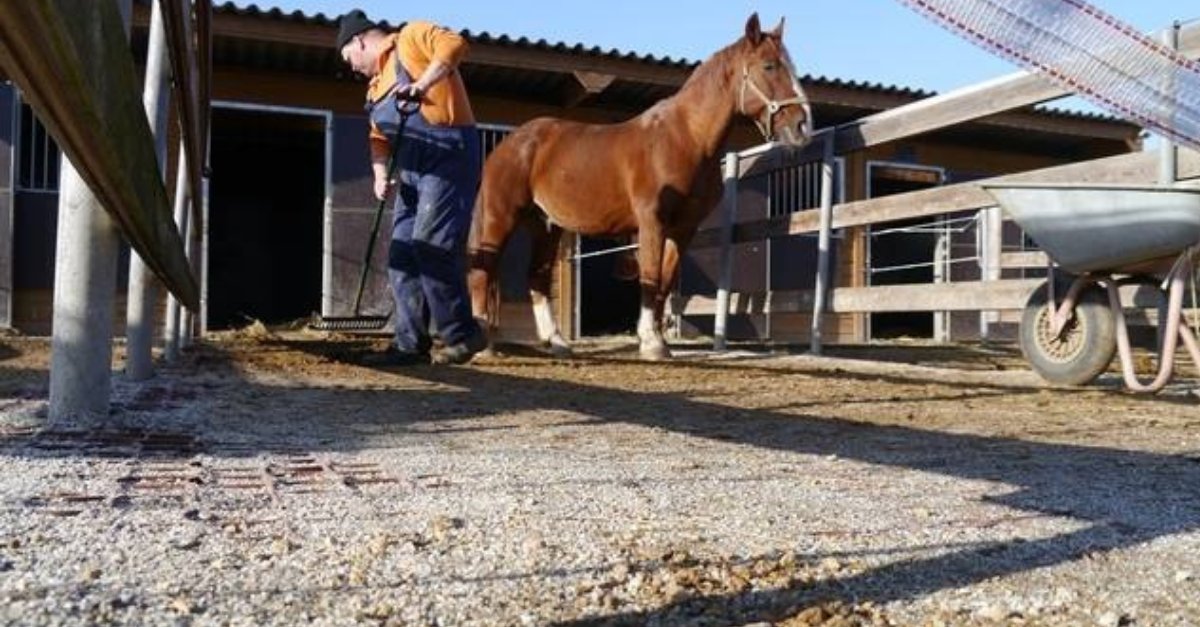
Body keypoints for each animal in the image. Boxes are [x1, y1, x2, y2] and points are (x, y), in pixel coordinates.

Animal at [468, 13, 813, 360]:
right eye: (769, 66)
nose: (802, 126)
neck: (685, 138)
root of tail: (508, 144)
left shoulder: (683, 229)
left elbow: (665, 281)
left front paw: (659, 341)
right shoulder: (651, 221)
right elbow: (649, 276)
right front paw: (650, 342)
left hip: (545, 225)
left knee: (536, 277)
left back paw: (557, 342)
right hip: (500, 217)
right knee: (483, 269)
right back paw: (484, 344)